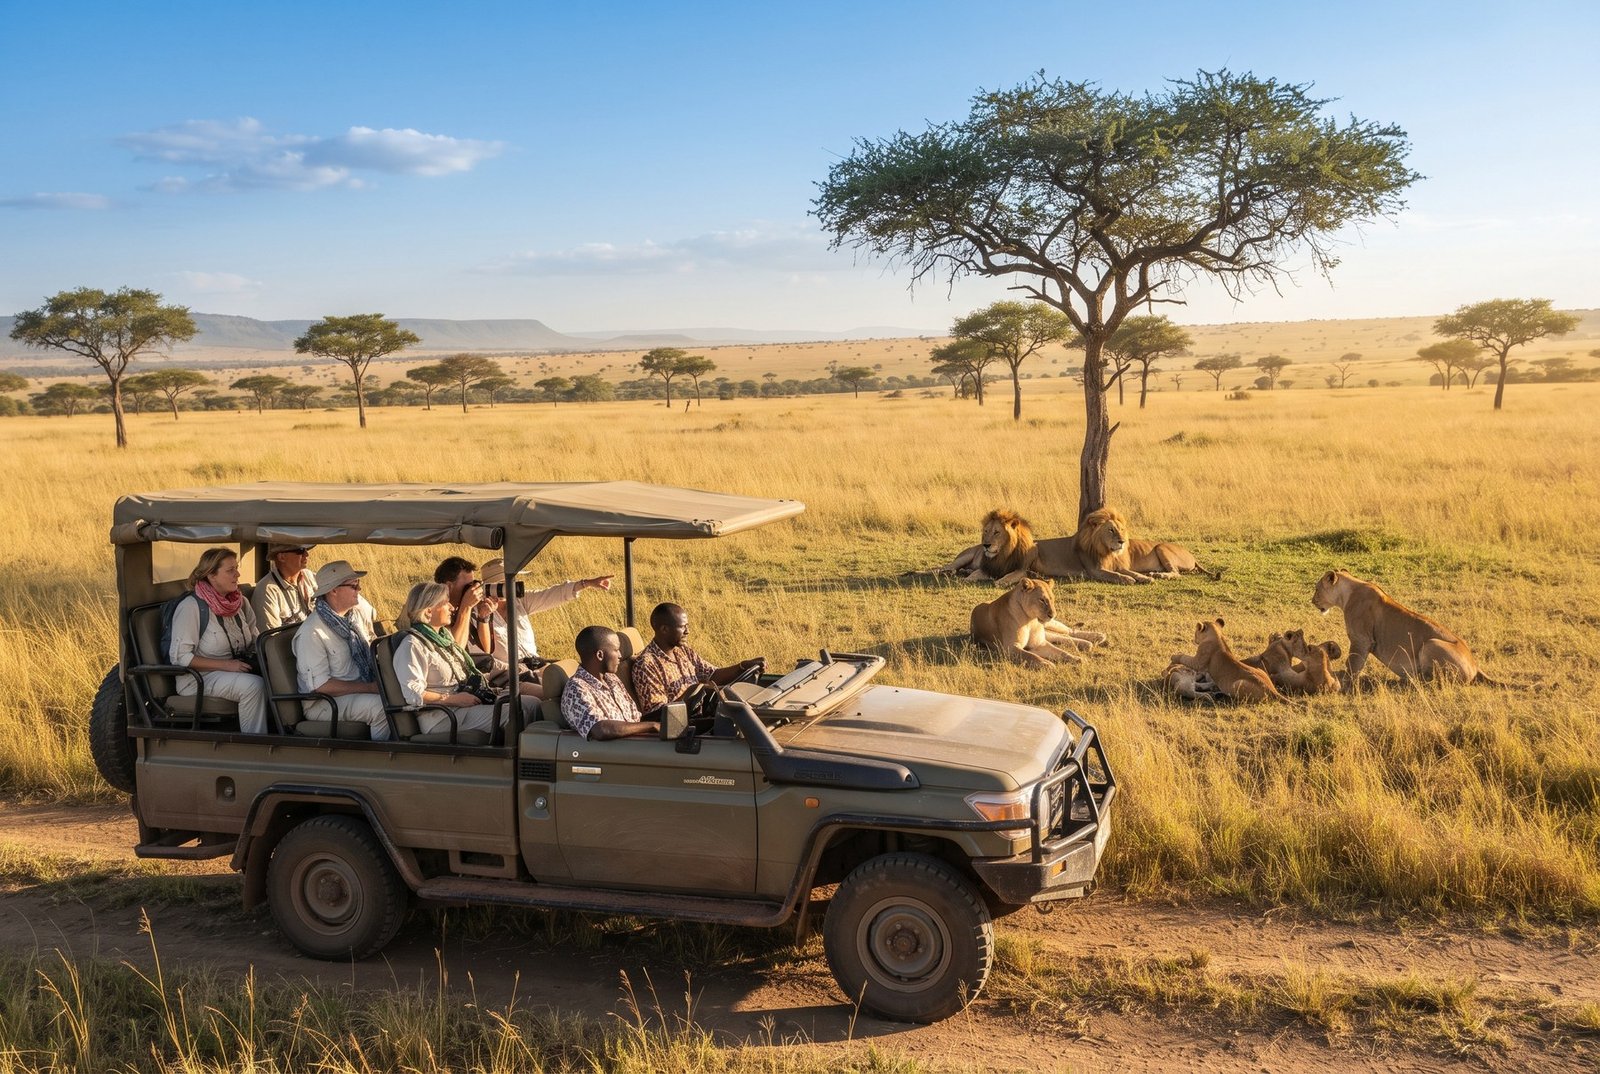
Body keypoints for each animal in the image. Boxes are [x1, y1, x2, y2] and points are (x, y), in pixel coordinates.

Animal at [971, 578, 1106, 668]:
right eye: (1042, 600)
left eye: (1052, 599)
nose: (1053, 614)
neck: (1031, 620)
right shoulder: (1011, 648)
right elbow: (1031, 656)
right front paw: (1046, 664)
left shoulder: (1039, 643)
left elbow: (1061, 652)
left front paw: (1076, 658)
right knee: (1061, 636)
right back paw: (1087, 644)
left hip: (1050, 625)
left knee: (1069, 631)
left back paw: (1098, 637)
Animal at [1312, 569, 1502, 688]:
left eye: (1316, 589)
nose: (1312, 601)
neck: (1348, 593)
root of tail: (1475, 665)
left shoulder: (1361, 640)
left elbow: (1353, 663)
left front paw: (1344, 682)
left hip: (1431, 644)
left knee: (1437, 682)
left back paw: (1411, 679)